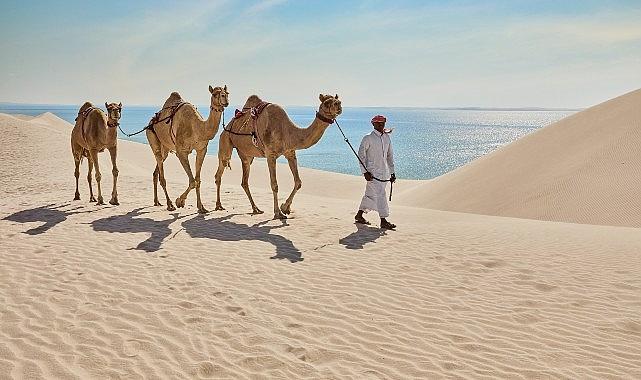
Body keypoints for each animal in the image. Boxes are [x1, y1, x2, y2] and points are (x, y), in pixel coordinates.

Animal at [146, 84, 229, 214]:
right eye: (215, 94)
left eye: (227, 92)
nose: (225, 99)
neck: (197, 128)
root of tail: (151, 122)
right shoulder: (181, 152)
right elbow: (192, 181)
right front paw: (179, 201)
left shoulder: (201, 150)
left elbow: (197, 180)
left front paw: (201, 207)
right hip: (151, 136)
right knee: (160, 169)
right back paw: (170, 204)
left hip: (165, 147)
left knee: (157, 169)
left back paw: (157, 201)